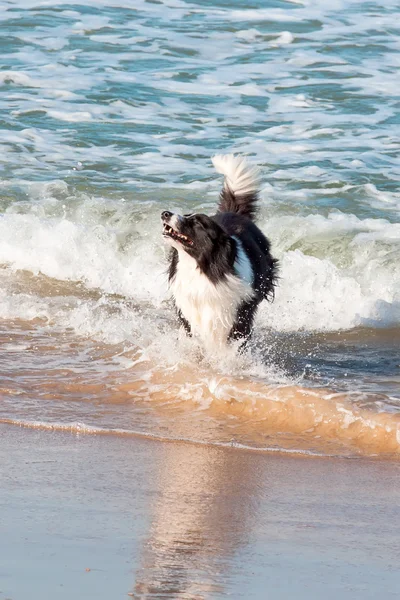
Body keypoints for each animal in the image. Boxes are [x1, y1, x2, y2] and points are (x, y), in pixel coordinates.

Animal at [161, 155, 276, 352]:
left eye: (197, 223)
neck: (200, 269)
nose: (165, 213)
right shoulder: (189, 313)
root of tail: (234, 212)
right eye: (187, 215)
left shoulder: (234, 317)